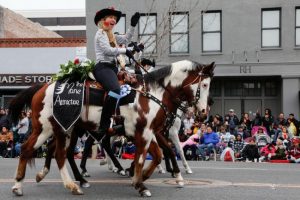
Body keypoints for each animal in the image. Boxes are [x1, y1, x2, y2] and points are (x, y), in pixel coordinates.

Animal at [10, 59, 214, 197]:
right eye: (204, 84)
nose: (203, 113)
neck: (152, 94)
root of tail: (42, 87)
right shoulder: (145, 133)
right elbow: (145, 157)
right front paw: (141, 184)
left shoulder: (151, 132)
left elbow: (159, 155)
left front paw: (142, 177)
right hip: (47, 129)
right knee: (35, 150)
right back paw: (25, 185)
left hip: (65, 130)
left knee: (58, 153)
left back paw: (70, 182)